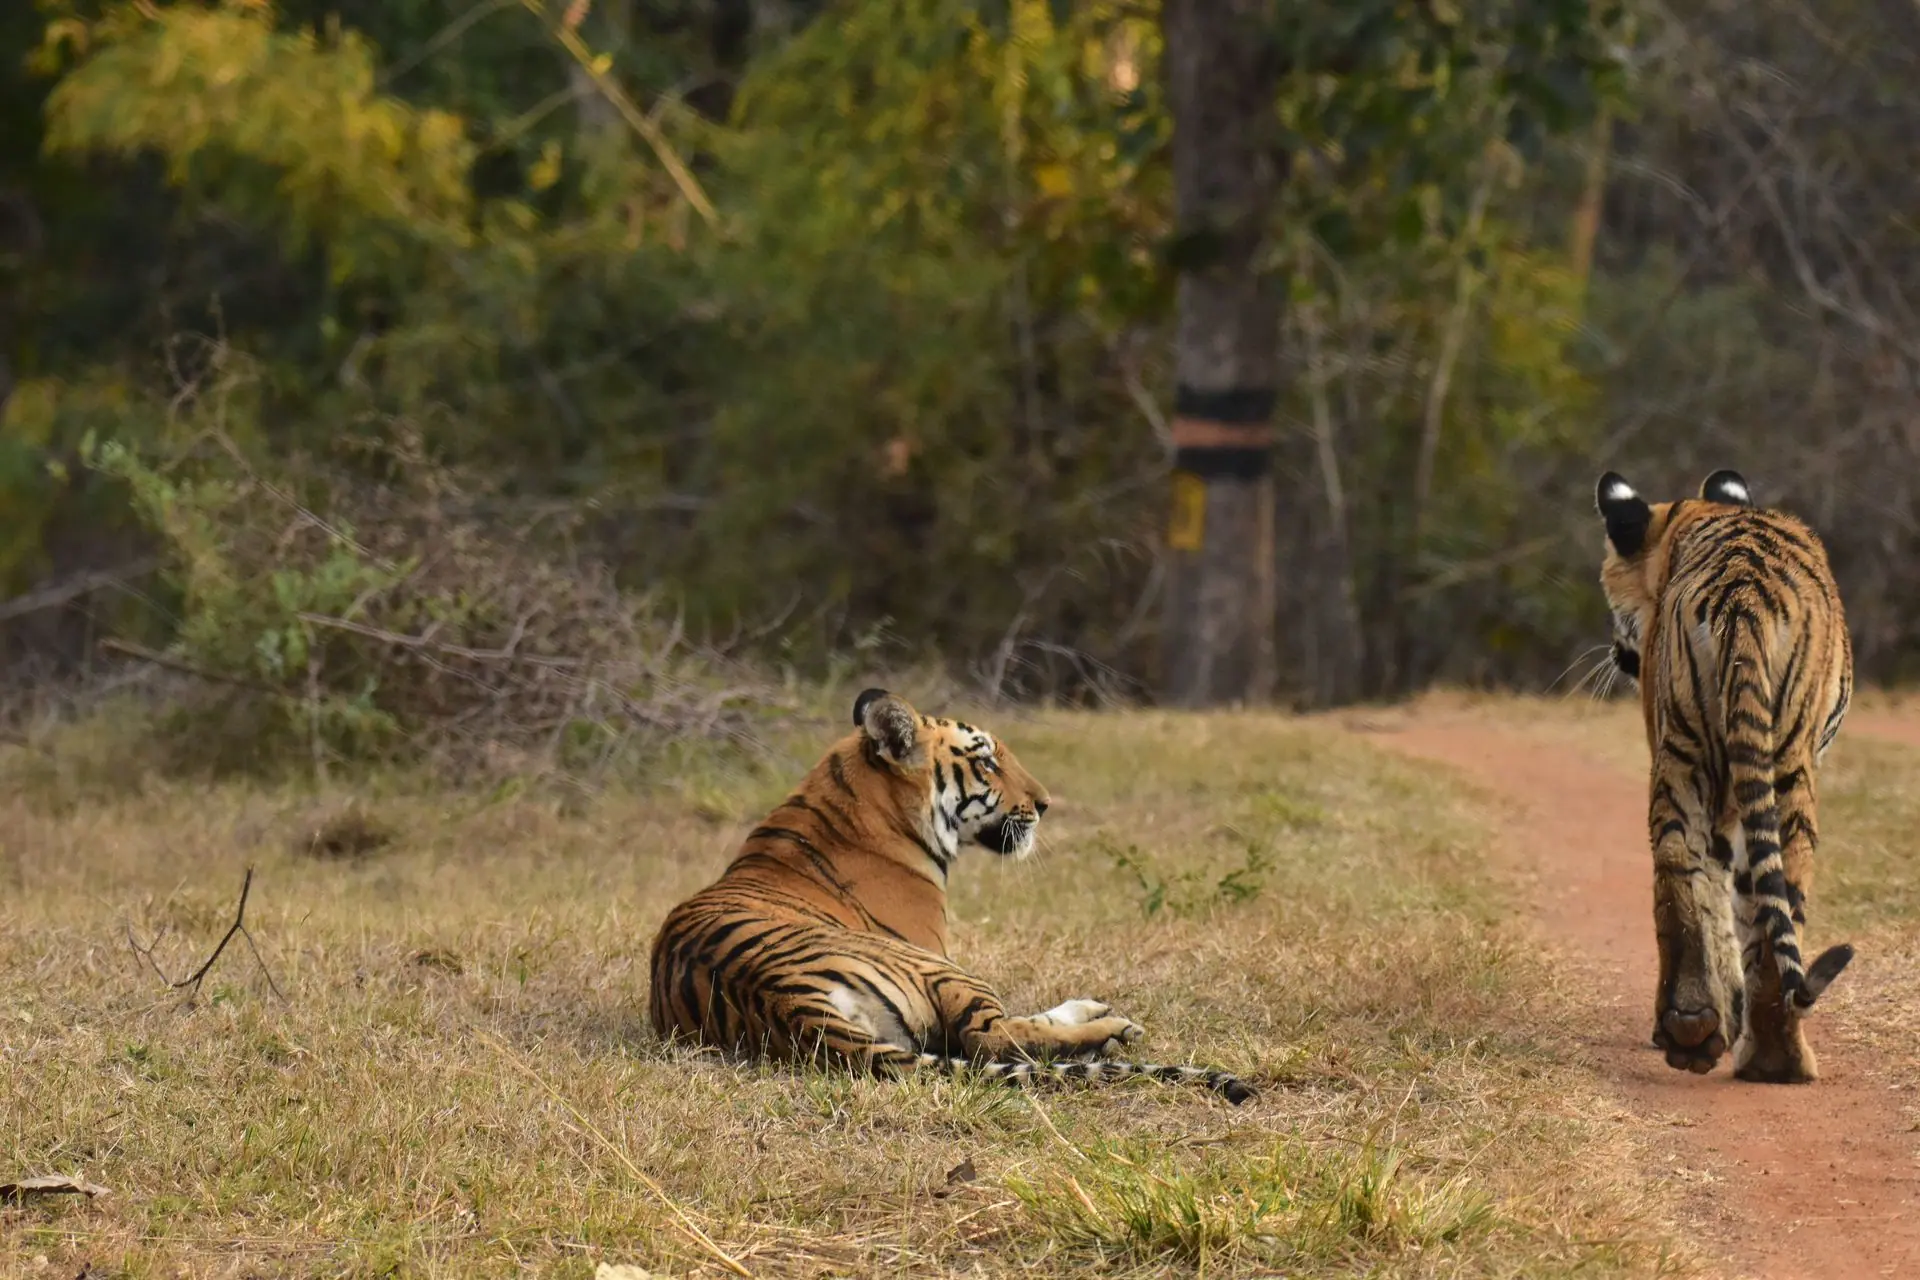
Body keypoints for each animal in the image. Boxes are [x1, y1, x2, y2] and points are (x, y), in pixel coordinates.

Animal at [647, 688, 1255, 1104]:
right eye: (986, 760)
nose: (1046, 803)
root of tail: (791, 1006)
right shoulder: (938, 950)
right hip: (935, 968)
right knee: (993, 1037)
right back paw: (1111, 1031)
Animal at [1594, 467, 1855, 1083]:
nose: (1618, 653)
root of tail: (1743, 592)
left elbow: (1727, 892)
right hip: (1776, 764)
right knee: (1762, 887)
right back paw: (1772, 1057)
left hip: (1688, 756)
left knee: (1682, 861)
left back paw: (1702, 1027)